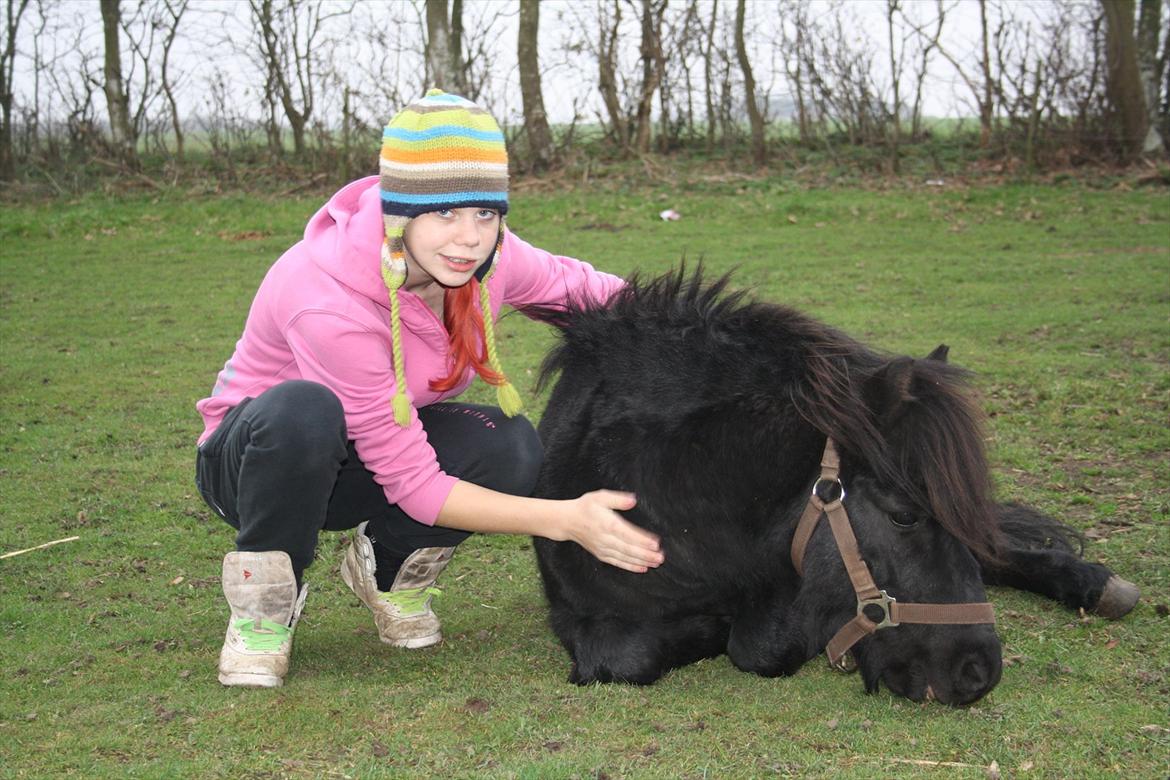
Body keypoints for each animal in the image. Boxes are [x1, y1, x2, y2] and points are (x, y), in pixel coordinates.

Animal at [526, 268, 1137, 706]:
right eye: (905, 515)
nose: (979, 671)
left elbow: (760, 645)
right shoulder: (582, 620)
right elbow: (630, 658)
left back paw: (1093, 583)